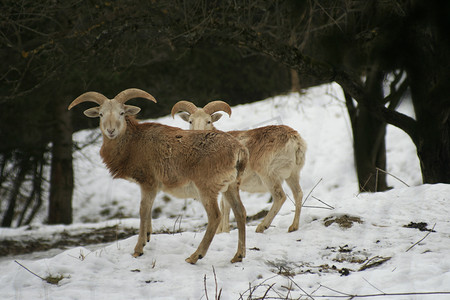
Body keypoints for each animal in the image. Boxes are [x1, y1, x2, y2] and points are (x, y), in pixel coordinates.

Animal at [68, 89, 248, 264]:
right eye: (101, 114)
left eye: (121, 112)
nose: (111, 131)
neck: (133, 144)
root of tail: (239, 149)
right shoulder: (152, 188)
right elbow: (148, 211)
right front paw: (147, 237)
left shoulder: (148, 184)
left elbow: (143, 210)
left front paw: (138, 250)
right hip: (231, 187)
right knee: (240, 212)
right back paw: (238, 256)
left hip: (206, 190)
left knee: (215, 217)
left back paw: (194, 256)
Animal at [171, 101, 306, 234]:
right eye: (190, 121)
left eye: (208, 121)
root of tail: (294, 140)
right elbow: (224, 206)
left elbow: (225, 207)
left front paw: (224, 231)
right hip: (292, 175)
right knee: (298, 194)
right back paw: (293, 227)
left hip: (268, 176)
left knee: (280, 197)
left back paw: (261, 227)